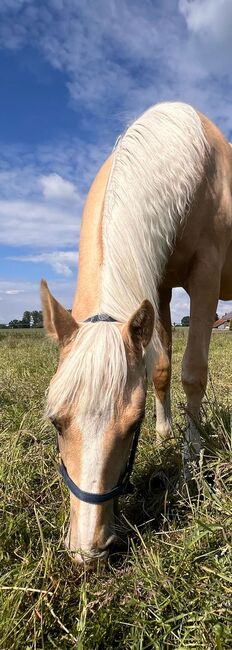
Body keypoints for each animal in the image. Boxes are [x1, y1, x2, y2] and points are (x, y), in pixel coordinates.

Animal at [40, 101, 232, 560]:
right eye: (56, 422)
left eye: (133, 424)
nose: (88, 551)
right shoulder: (158, 286)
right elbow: (160, 367)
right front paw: (164, 436)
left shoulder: (205, 276)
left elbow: (192, 372)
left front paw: (191, 463)